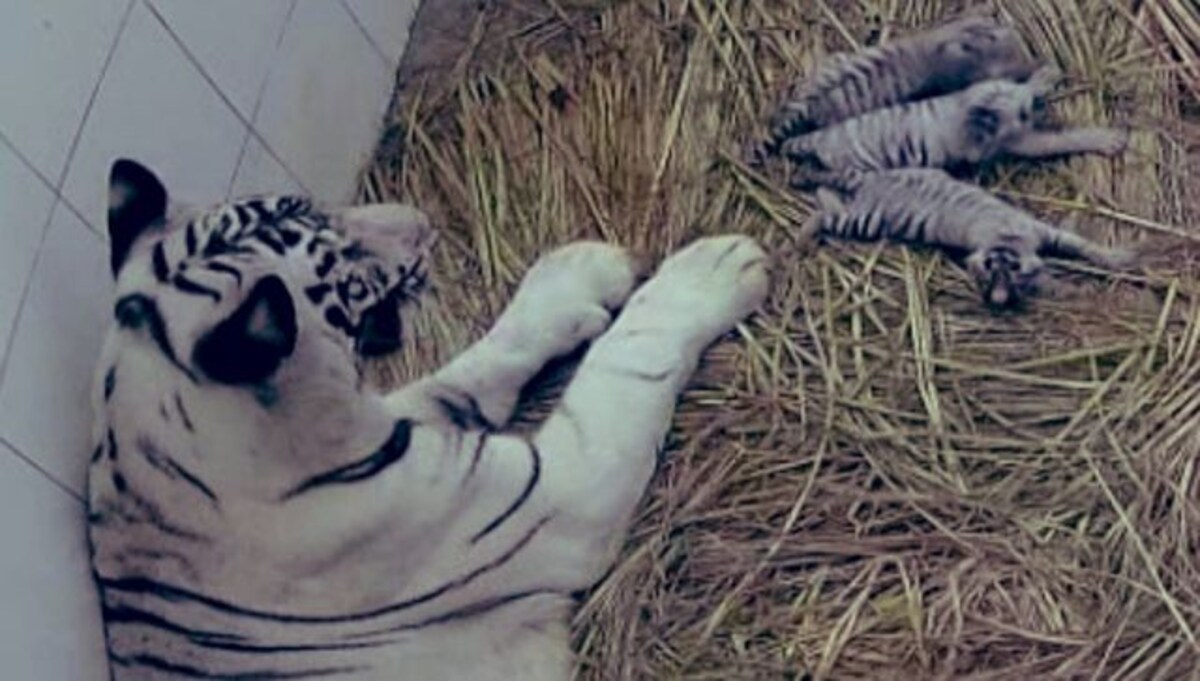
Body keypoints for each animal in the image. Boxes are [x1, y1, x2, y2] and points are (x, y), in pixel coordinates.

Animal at [87, 157, 768, 676]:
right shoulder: (560, 492)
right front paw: (714, 270)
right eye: (342, 258)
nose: (420, 222)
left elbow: (473, 367)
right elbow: (626, 362)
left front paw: (575, 275)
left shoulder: (400, 422)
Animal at [782, 66, 1128, 189]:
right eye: (1023, 114)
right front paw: (1105, 139)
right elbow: (1058, 140)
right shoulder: (1015, 141)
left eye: (1026, 104)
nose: (1039, 106)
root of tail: (821, 137)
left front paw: (1044, 76)